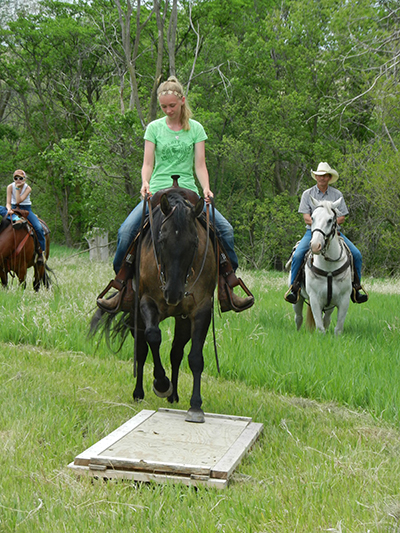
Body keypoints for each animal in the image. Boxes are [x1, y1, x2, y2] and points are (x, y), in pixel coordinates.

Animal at [91, 189, 216, 422]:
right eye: (162, 240)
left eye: (195, 242)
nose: (173, 293)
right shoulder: (146, 303)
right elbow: (153, 337)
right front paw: (161, 384)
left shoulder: (201, 310)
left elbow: (195, 357)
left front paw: (195, 406)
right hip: (137, 316)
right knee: (141, 351)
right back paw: (139, 393)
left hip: (182, 320)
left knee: (176, 352)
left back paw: (174, 396)